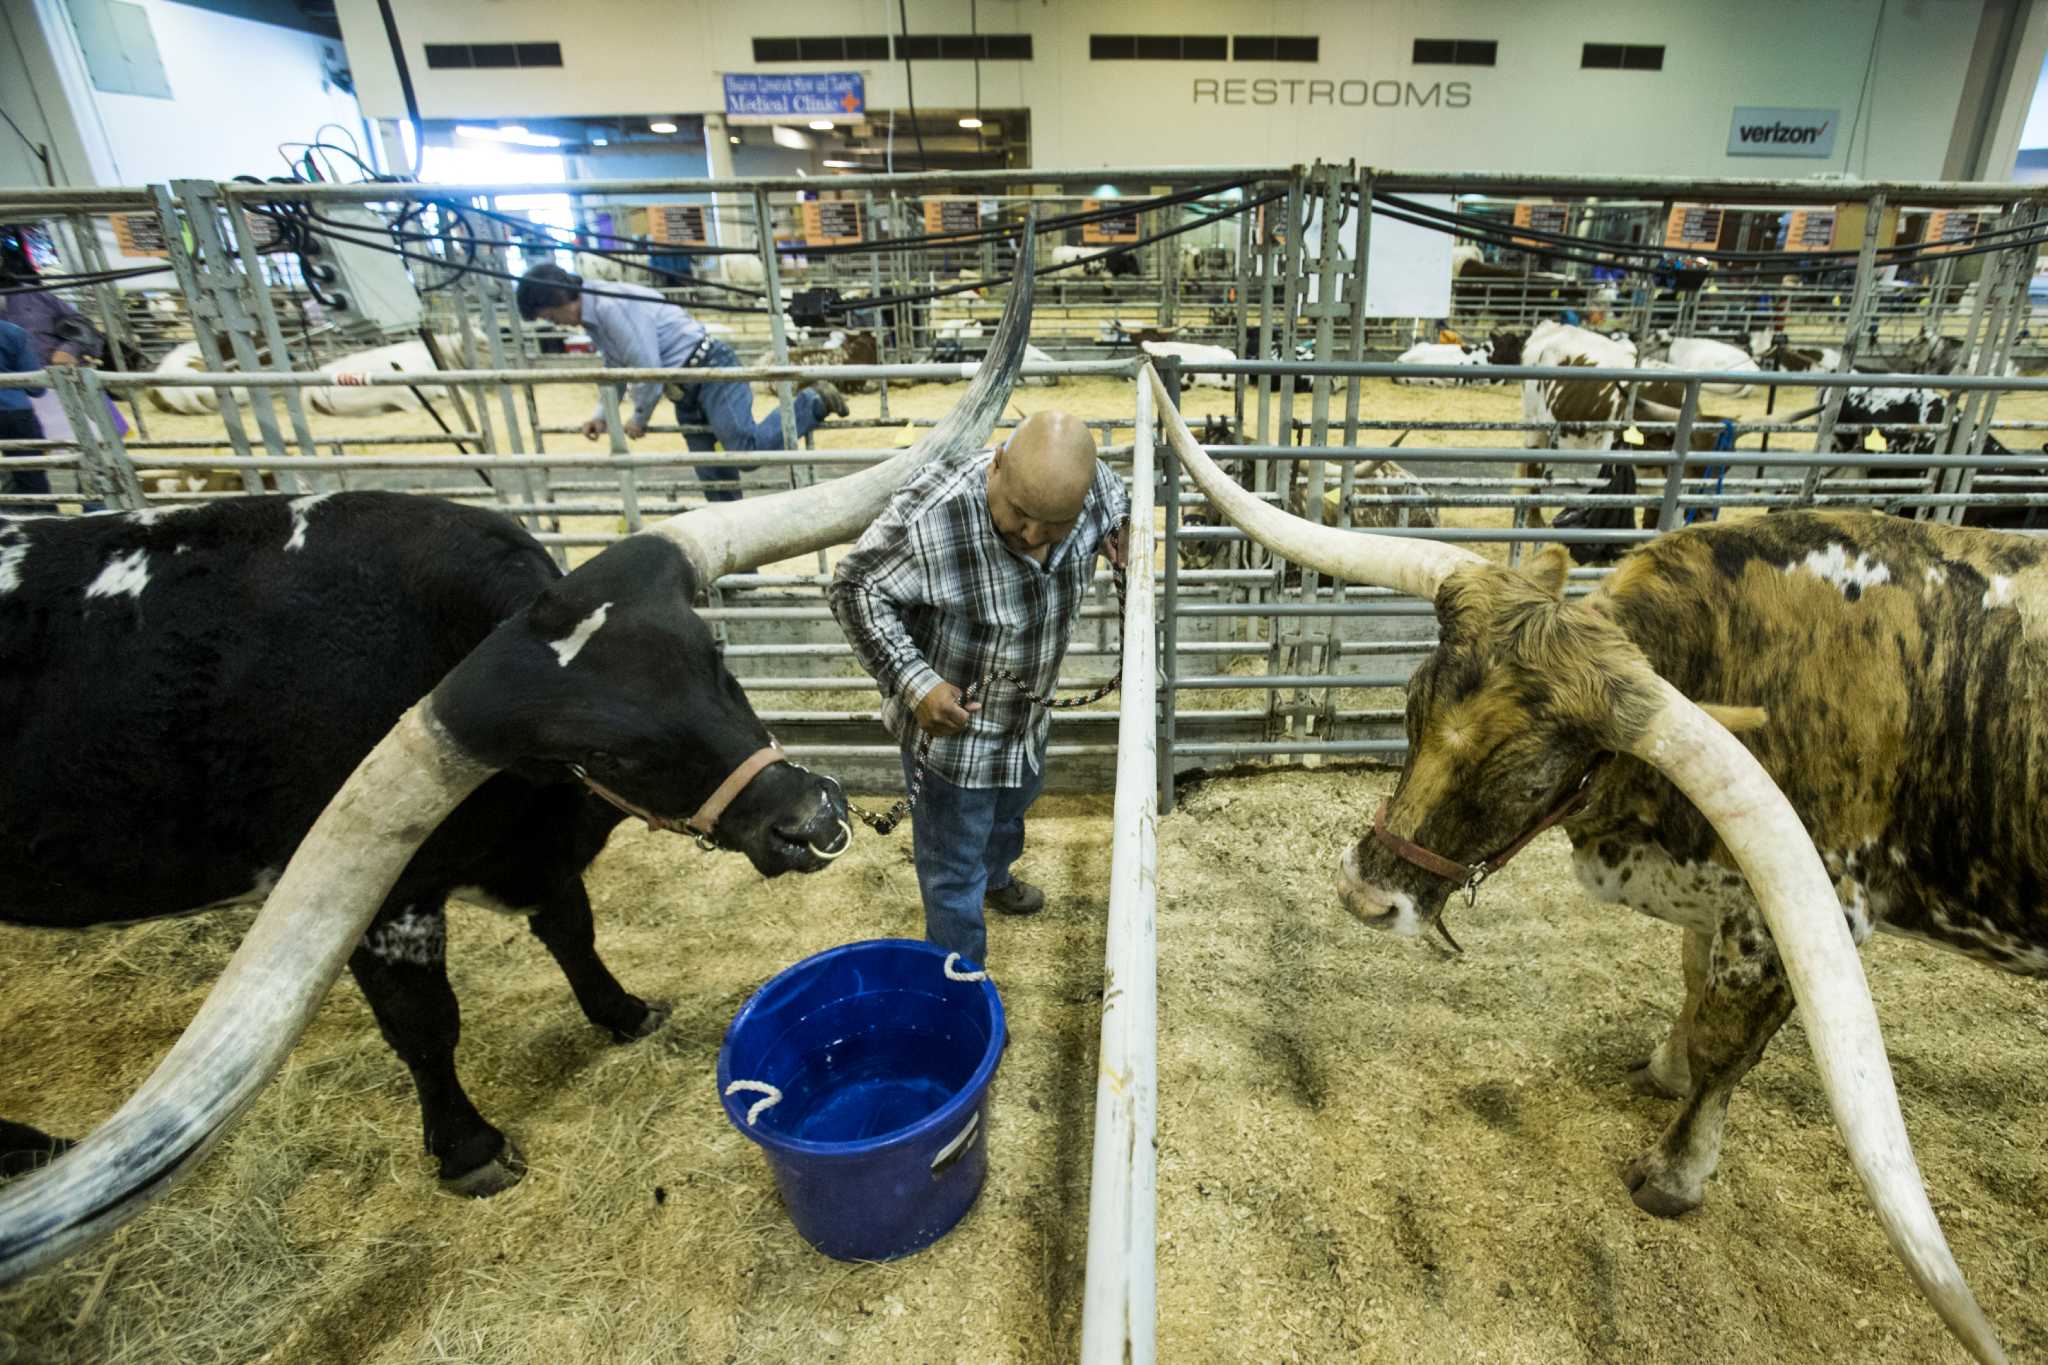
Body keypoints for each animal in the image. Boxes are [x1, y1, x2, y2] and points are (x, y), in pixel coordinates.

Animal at [1155, 368, 2015, 1358]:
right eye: (1411, 704)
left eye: (1534, 778)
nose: (1365, 894)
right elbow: (1694, 993)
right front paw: (1665, 1066)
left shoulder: (1803, 912)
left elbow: (1726, 1042)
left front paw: (1674, 1173)